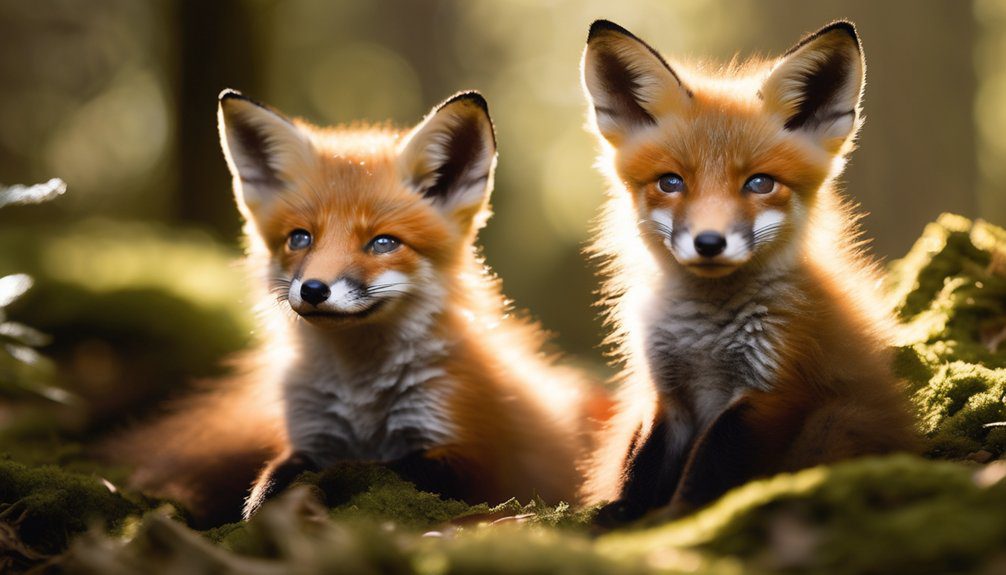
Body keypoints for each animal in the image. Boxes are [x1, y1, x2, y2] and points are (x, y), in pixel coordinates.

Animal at [108, 90, 594, 525]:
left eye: (383, 243)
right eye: (300, 238)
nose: (313, 289)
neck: (361, 398)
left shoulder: (466, 452)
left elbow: (368, 467)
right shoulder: (311, 435)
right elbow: (274, 474)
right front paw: (262, 504)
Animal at [578, 20, 919, 524]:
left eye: (760, 183)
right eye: (671, 182)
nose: (709, 243)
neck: (704, 336)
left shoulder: (772, 387)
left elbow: (707, 466)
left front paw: (678, 520)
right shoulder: (669, 392)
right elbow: (640, 464)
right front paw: (620, 515)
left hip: (837, 420)